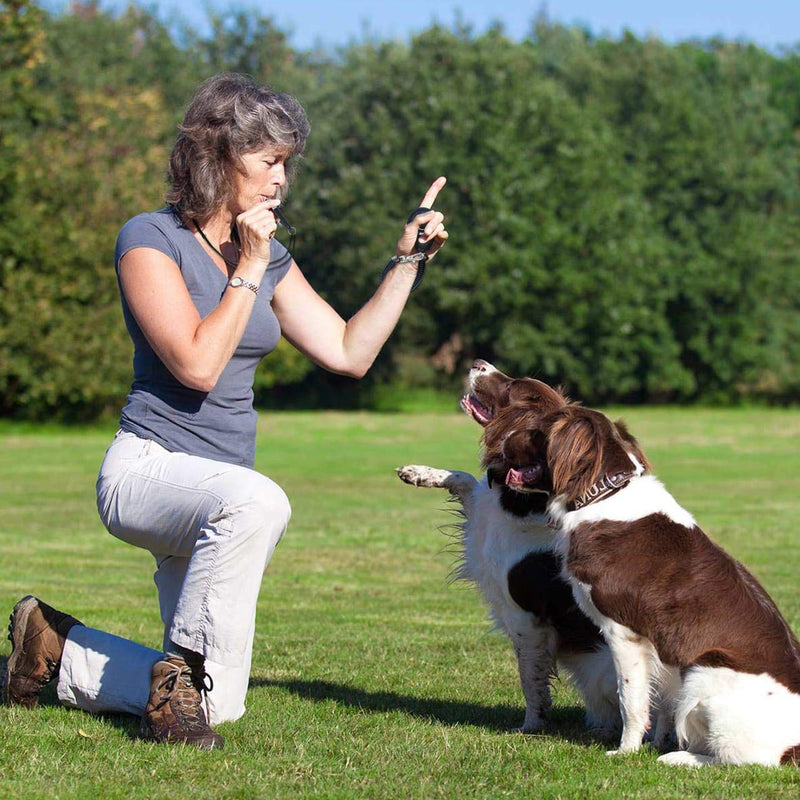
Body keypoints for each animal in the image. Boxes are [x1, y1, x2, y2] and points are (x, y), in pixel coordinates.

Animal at [398, 360, 620, 736]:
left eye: (513, 386)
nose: (477, 362)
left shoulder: (525, 618)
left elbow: (530, 678)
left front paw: (531, 725)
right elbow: (464, 479)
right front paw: (418, 473)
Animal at [472, 366, 800, 764]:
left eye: (537, 430)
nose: (500, 446)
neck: (603, 495)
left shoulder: (624, 632)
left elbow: (630, 698)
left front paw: (625, 750)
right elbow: (657, 699)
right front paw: (652, 741)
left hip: (704, 671)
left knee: (745, 760)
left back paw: (678, 758)